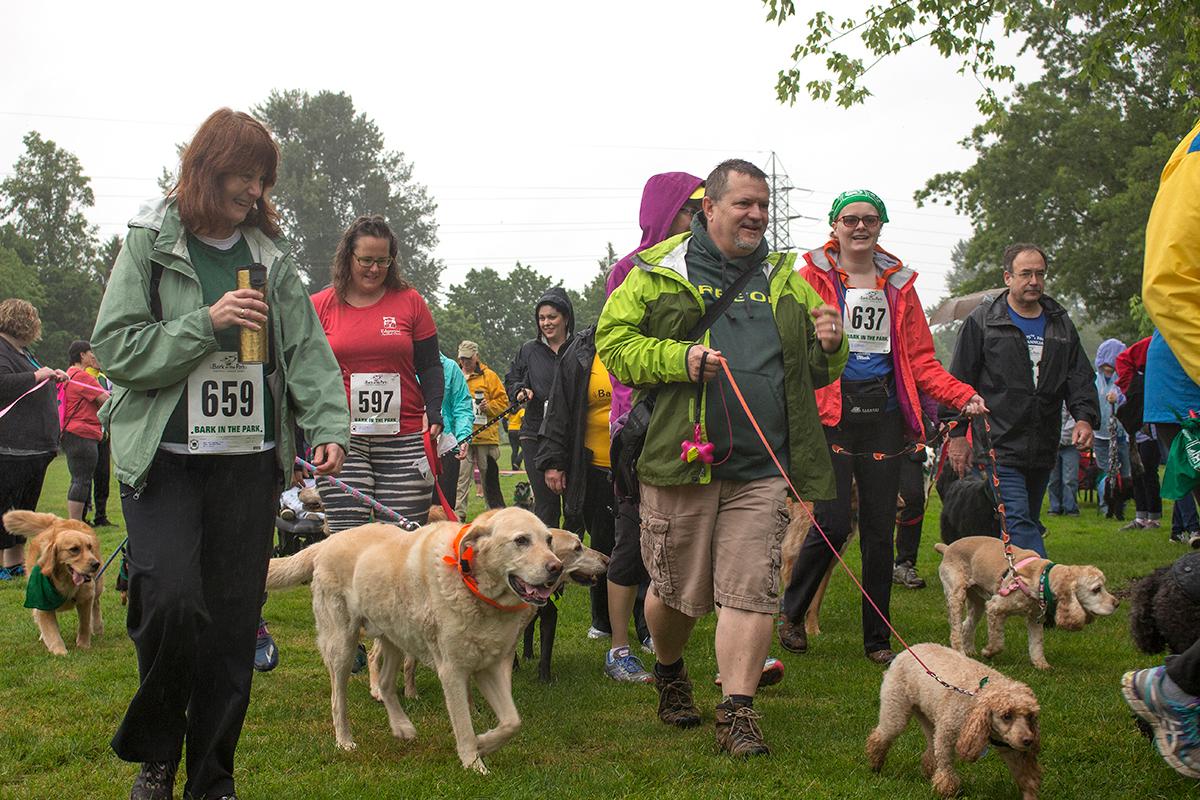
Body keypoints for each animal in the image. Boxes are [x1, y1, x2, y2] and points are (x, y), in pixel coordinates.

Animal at [4, 513, 103, 657]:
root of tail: (58, 521)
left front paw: (83, 645)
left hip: (98, 585)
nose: (96, 564)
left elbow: (84, 624)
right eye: (74, 549)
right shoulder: (41, 602)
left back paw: (98, 627)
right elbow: (51, 631)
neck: (64, 582)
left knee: (96, 605)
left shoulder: (86, 597)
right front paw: (60, 651)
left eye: (89, 547)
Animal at [266, 510, 561, 772]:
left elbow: (512, 721)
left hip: (395, 638)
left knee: (386, 684)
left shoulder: (489, 667)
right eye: (521, 540)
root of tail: (325, 543)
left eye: (549, 540)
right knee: (338, 698)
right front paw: (474, 764)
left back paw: (402, 727)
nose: (556, 568)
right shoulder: (453, 672)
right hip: (343, 646)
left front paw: (485, 744)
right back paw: (345, 741)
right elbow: (464, 727)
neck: (474, 587)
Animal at [864, 642, 1041, 800]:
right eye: (1006, 715)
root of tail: (907, 650)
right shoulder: (947, 734)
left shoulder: (1009, 746)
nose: (1028, 740)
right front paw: (948, 791)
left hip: (929, 717)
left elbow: (1024, 776)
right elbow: (946, 763)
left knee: (930, 746)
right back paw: (875, 764)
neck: (975, 696)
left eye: (1030, 716)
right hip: (896, 710)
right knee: (881, 736)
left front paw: (1030, 792)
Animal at [936, 537, 1113, 671]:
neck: (1042, 578)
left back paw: (970, 651)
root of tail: (948, 547)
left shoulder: (1035, 619)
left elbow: (1036, 644)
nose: (1116, 603)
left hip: (977, 603)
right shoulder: (995, 607)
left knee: (967, 625)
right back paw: (960, 652)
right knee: (956, 630)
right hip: (956, 595)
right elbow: (998, 642)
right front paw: (988, 652)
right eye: (1097, 589)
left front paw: (1042, 665)